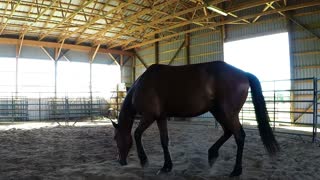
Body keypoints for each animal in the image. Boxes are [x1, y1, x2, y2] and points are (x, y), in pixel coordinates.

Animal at [111, 60, 278, 176]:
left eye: (115, 138)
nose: (120, 161)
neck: (141, 85)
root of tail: (243, 73)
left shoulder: (149, 116)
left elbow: (137, 134)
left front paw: (144, 161)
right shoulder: (161, 118)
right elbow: (164, 141)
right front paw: (166, 167)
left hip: (228, 113)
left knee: (239, 136)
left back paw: (236, 171)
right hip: (219, 112)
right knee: (228, 132)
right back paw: (212, 155)